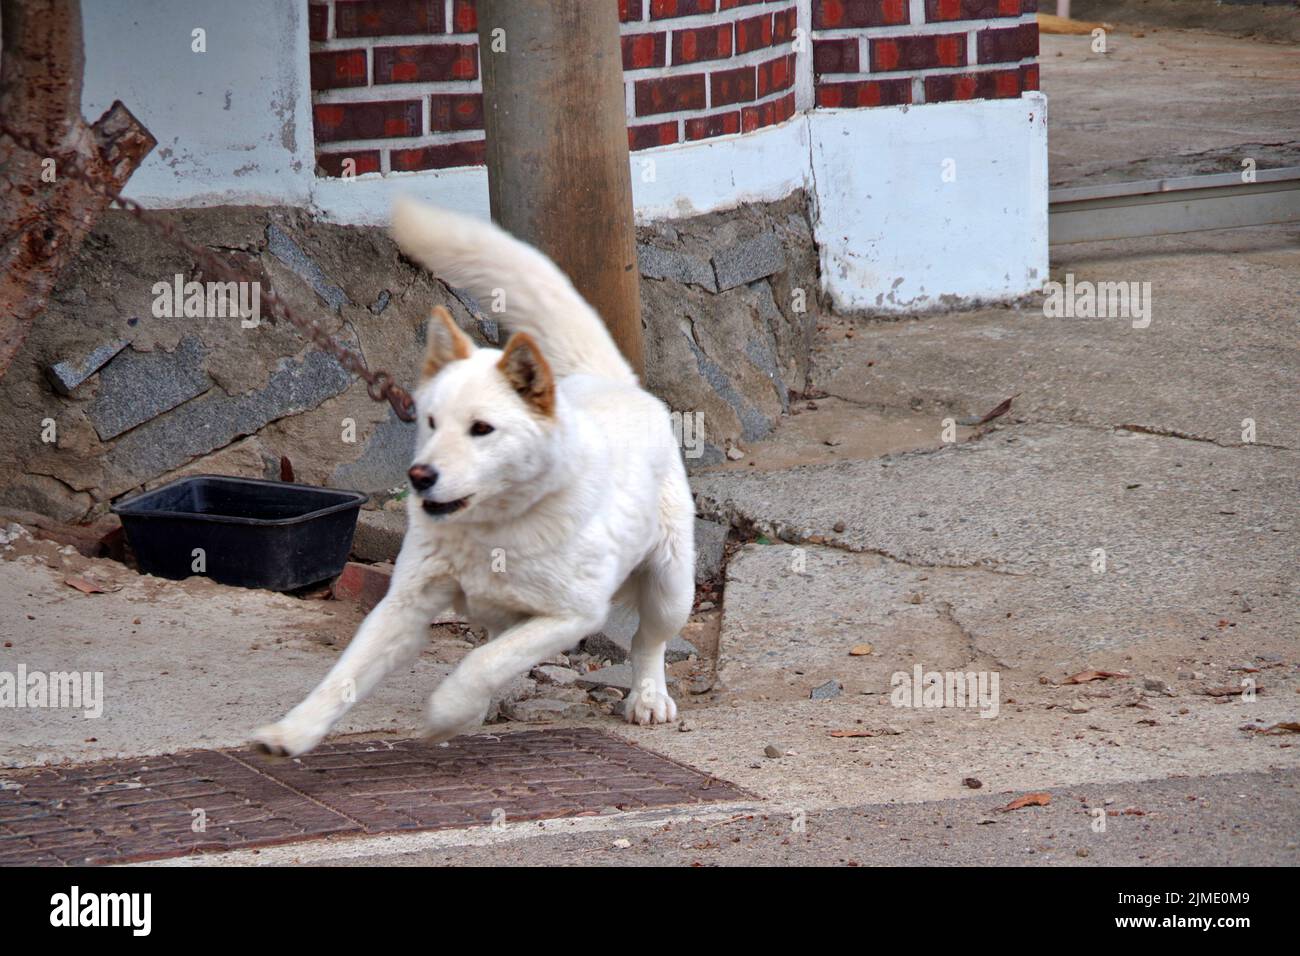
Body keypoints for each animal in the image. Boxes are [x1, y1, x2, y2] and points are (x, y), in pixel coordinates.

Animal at [256, 200, 702, 754]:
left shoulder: (571, 615)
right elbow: (345, 676)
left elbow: (479, 664)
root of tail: (609, 381)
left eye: (482, 429)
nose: (420, 476)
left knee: (647, 641)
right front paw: (293, 731)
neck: (494, 527)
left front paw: (446, 712)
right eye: (429, 421)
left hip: (671, 586)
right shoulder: (403, 606)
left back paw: (647, 697)